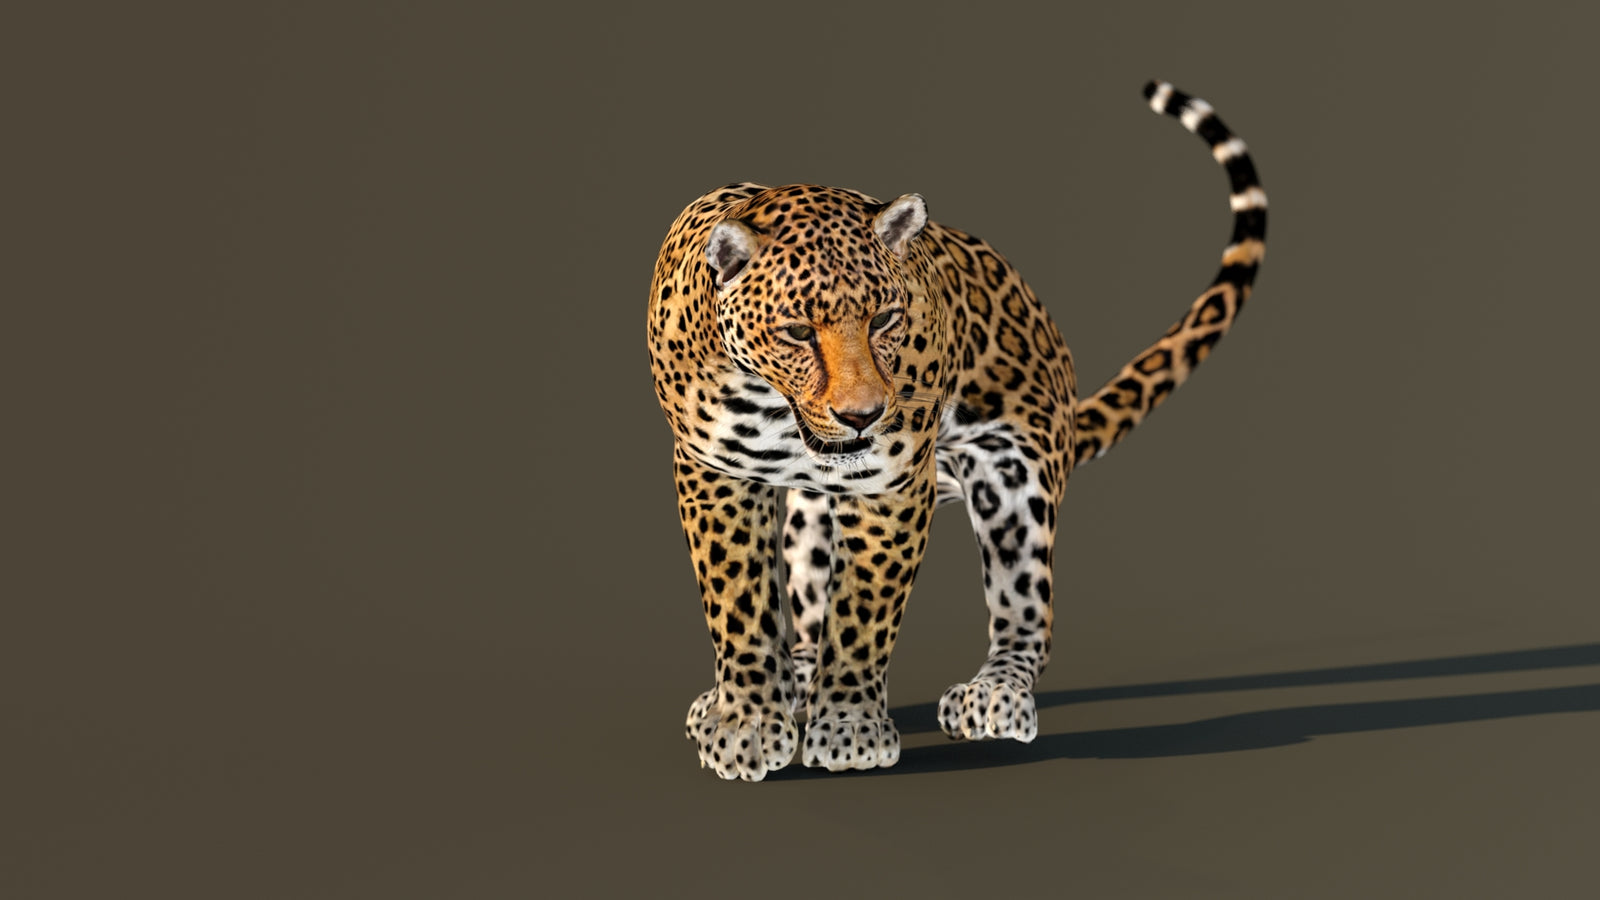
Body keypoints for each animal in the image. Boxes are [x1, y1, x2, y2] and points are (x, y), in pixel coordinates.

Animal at [645, 82, 1267, 781]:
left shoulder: (891, 483)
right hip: (810, 517)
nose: (864, 415)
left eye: (886, 318)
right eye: (798, 332)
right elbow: (739, 604)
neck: (773, 407)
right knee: (806, 608)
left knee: (1028, 613)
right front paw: (748, 721)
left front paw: (850, 728)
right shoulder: (713, 470)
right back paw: (791, 679)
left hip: (1016, 480)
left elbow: (863, 613)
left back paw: (994, 695)